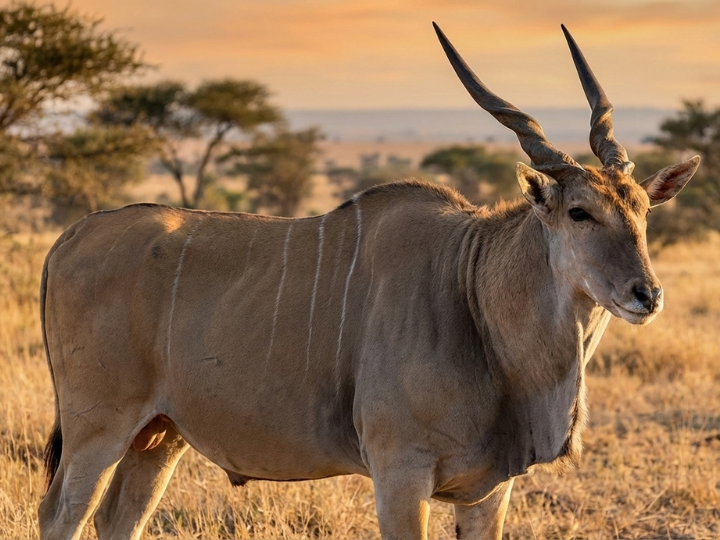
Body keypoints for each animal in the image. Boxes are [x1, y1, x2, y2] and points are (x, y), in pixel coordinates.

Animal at [38, 23, 699, 540]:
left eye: (643, 209)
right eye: (579, 212)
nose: (646, 294)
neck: (472, 290)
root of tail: (70, 238)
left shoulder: (488, 492)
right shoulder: (400, 474)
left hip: (159, 436)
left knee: (118, 519)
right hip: (98, 427)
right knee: (60, 515)